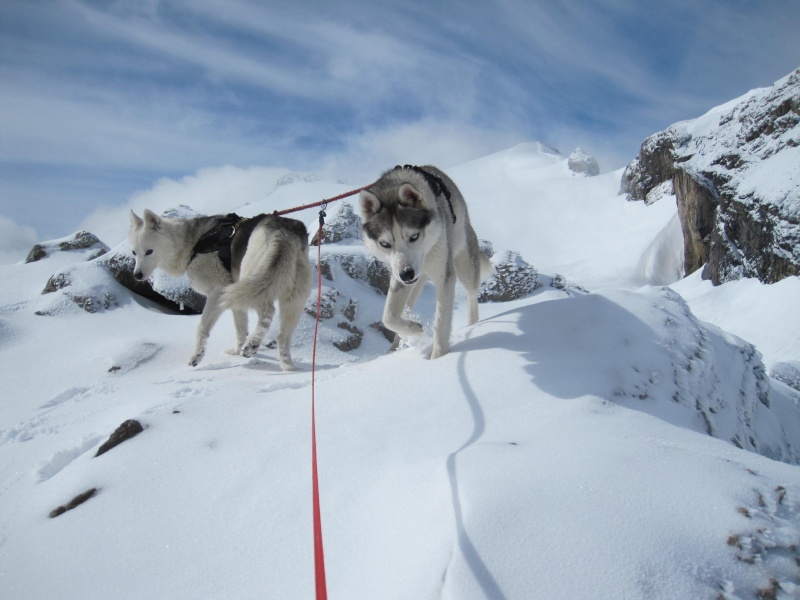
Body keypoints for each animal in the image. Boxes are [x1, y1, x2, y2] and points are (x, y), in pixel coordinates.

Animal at [129, 211, 312, 370]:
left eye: (149, 251)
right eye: (134, 253)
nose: (136, 275)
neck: (192, 244)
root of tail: (284, 231)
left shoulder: (218, 292)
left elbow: (202, 328)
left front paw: (197, 356)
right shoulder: (235, 299)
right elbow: (240, 328)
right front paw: (236, 352)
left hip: (254, 282)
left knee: (268, 311)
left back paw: (253, 343)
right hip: (289, 301)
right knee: (282, 335)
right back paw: (288, 366)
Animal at [360, 166, 490, 358]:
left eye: (414, 236)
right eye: (385, 244)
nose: (407, 274)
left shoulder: (445, 276)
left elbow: (441, 321)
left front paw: (439, 357)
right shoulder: (398, 277)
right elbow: (388, 317)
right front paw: (414, 329)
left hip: (465, 265)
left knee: (472, 297)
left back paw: (473, 325)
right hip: (413, 286)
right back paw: (395, 347)